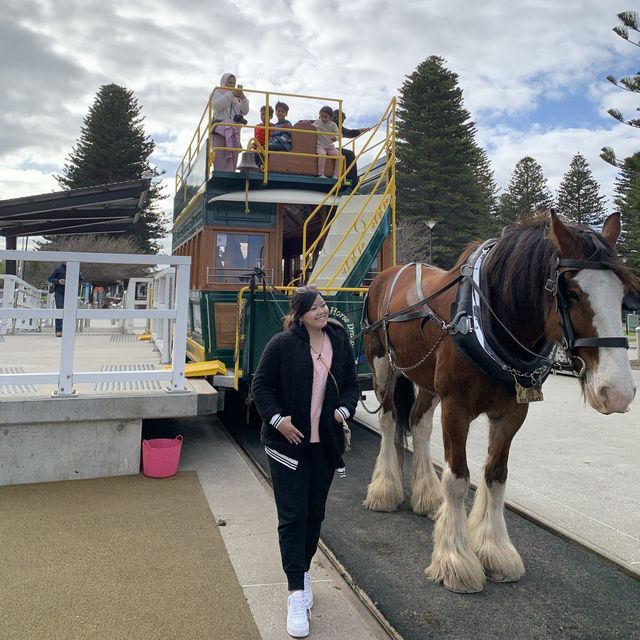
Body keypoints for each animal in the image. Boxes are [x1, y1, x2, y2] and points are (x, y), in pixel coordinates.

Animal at [362, 212, 636, 592]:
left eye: (623, 295)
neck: (487, 319)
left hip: (425, 377)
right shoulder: (456, 408)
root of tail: (393, 271)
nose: (619, 391)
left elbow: (495, 476)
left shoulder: (512, 413)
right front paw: (456, 559)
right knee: (389, 420)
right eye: (571, 293)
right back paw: (385, 489)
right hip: (382, 364)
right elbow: (458, 478)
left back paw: (427, 496)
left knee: (419, 424)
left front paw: (494, 551)